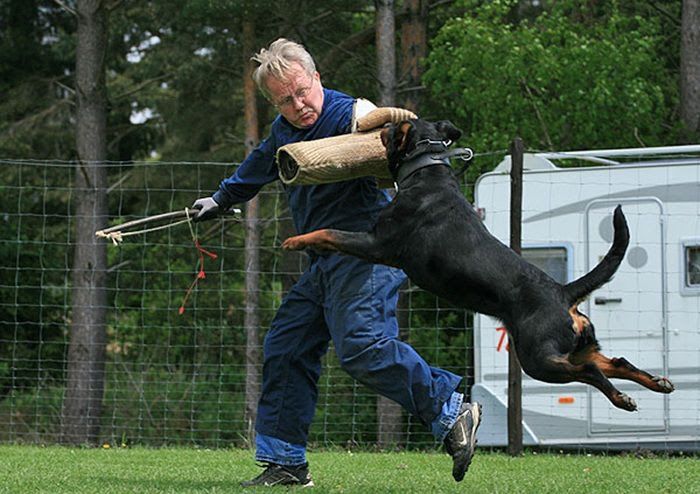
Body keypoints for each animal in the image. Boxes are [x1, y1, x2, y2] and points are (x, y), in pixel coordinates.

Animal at [282, 117, 676, 412]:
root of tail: (564, 293)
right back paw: (657, 383)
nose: (383, 125)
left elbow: (329, 232)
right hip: (573, 346)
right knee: (615, 362)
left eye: (396, 128)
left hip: (538, 357)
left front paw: (296, 241)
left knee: (590, 370)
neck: (426, 174)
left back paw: (622, 397)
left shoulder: (376, 244)